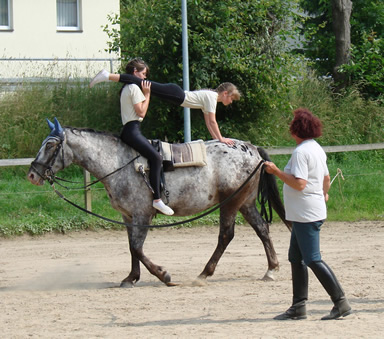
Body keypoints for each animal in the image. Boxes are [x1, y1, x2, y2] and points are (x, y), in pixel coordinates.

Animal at [27, 119, 292, 286]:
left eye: (50, 144)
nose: (32, 174)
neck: (119, 162)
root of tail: (252, 149)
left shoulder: (142, 214)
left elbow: (137, 247)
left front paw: (163, 275)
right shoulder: (128, 216)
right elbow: (131, 246)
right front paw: (131, 278)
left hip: (231, 202)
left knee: (226, 235)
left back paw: (204, 274)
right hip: (246, 202)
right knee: (262, 229)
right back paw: (271, 269)